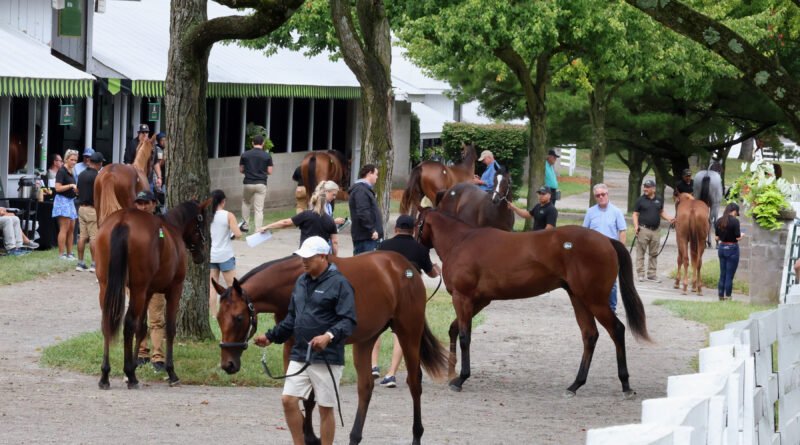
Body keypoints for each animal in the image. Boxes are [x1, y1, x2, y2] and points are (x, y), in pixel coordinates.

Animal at [95, 198, 211, 389]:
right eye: (202, 223)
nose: (201, 252)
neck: (172, 228)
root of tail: (123, 221)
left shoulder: (148, 292)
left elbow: (142, 328)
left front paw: (134, 364)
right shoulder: (174, 289)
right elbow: (169, 329)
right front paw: (171, 372)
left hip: (108, 286)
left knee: (107, 323)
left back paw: (105, 375)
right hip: (138, 289)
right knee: (128, 323)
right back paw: (130, 376)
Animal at [214, 252, 448, 445]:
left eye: (239, 318)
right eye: (217, 318)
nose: (228, 364)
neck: (292, 283)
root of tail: (406, 267)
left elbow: (310, 399)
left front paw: (310, 435)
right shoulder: (292, 345)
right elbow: (300, 395)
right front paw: (306, 431)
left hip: (409, 333)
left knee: (414, 383)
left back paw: (416, 435)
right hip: (366, 341)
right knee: (365, 387)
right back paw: (354, 437)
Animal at [415, 208, 650, 395]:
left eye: (417, 224)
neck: (461, 242)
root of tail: (606, 240)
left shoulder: (462, 297)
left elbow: (465, 336)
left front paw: (461, 378)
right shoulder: (479, 300)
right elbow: (454, 329)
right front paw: (451, 372)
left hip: (595, 300)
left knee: (617, 330)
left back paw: (625, 385)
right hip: (579, 299)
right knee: (590, 335)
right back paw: (575, 385)